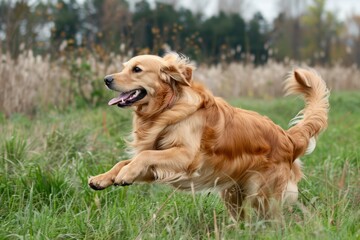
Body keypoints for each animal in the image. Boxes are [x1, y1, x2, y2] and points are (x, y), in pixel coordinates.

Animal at [88, 53, 330, 221]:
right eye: (124, 67)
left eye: (136, 69)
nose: (106, 79)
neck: (168, 107)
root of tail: (288, 138)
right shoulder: (159, 166)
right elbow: (126, 161)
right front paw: (103, 178)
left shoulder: (186, 157)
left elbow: (143, 155)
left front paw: (125, 175)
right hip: (233, 194)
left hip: (263, 195)